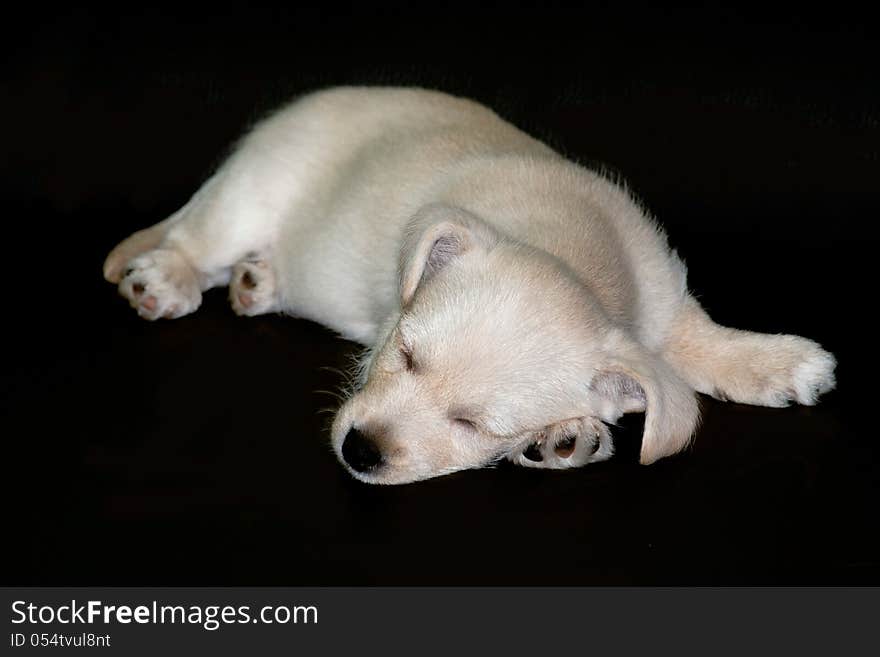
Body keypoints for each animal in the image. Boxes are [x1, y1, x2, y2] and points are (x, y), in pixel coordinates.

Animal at [103, 86, 840, 482]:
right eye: (403, 356)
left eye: (476, 425)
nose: (359, 450)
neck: (569, 247)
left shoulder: (663, 307)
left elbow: (703, 342)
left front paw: (779, 361)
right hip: (251, 193)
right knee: (196, 236)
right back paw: (169, 278)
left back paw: (260, 279)